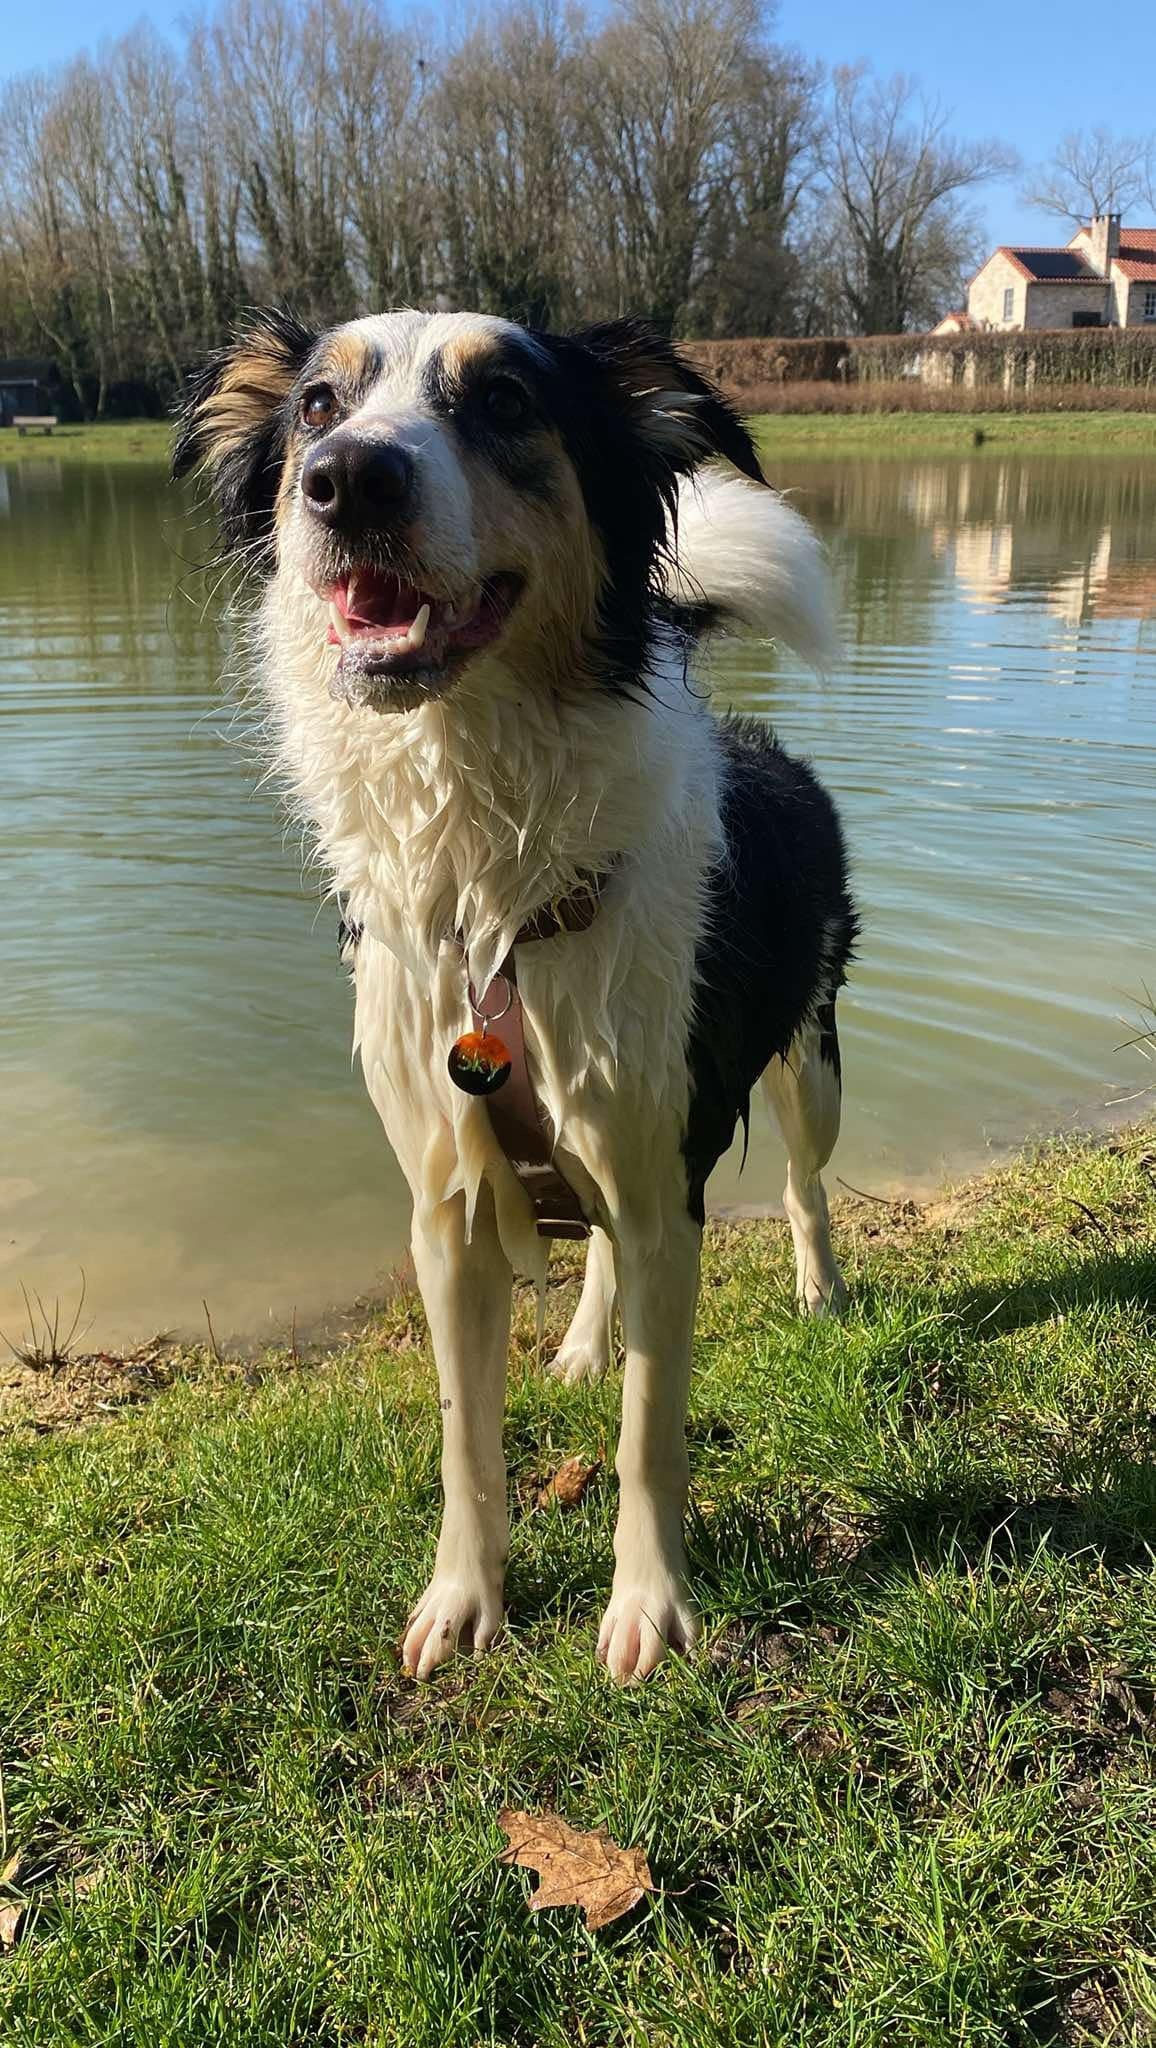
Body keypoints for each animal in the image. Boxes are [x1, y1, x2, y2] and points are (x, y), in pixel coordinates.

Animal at [174, 303, 856, 1679]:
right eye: (317, 405)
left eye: (503, 403)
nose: (347, 481)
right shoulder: (443, 1203)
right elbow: (462, 1435)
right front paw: (462, 1598)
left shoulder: (662, 1174)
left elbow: (650, 1434)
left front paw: (648, 1607)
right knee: (597, 1247)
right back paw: (587, 1339)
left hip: (804, 1060)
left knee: (804, 1183)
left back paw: (815, 1286)